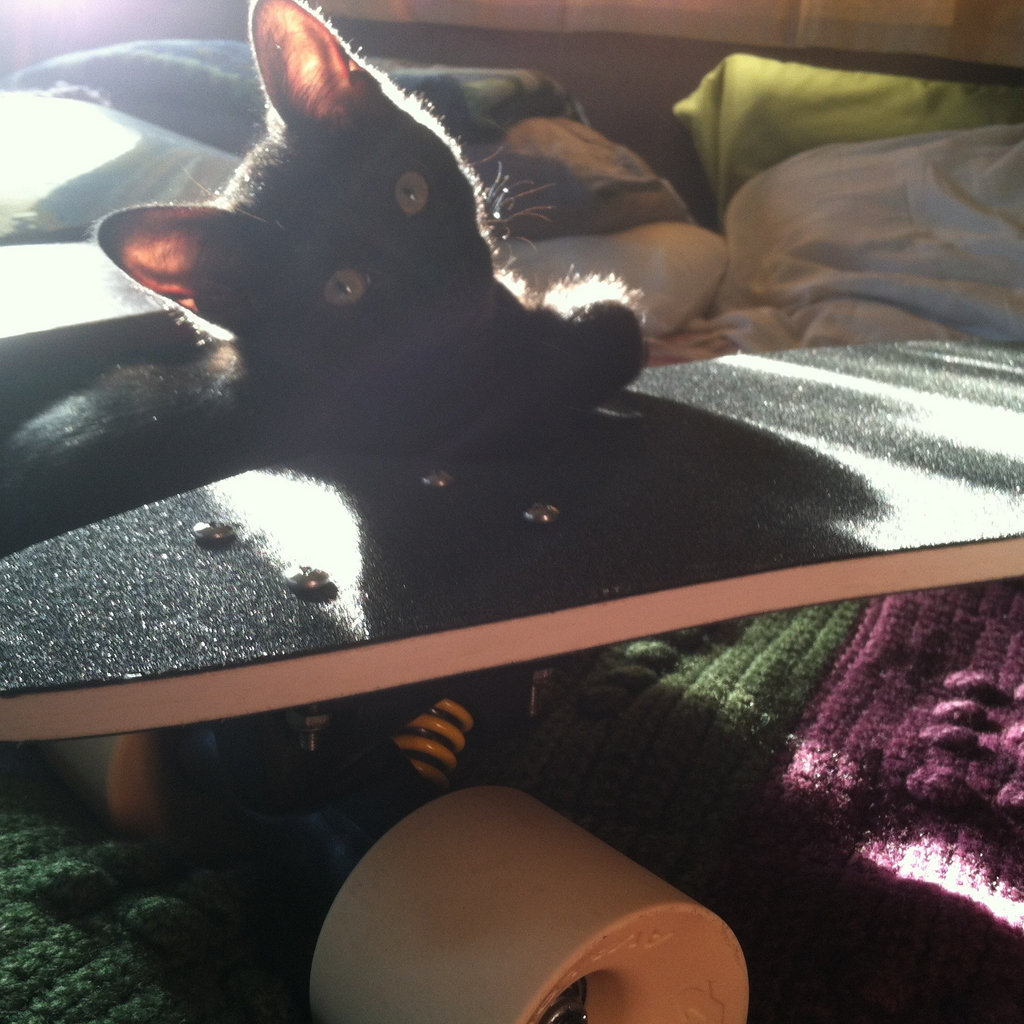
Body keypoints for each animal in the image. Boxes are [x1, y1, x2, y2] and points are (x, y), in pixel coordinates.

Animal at [0, 0, 644, 555]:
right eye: (343, 288)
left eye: (410, 192)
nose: (447, 280)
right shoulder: (468, 424)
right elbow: (610, 335)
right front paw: (589, 318)